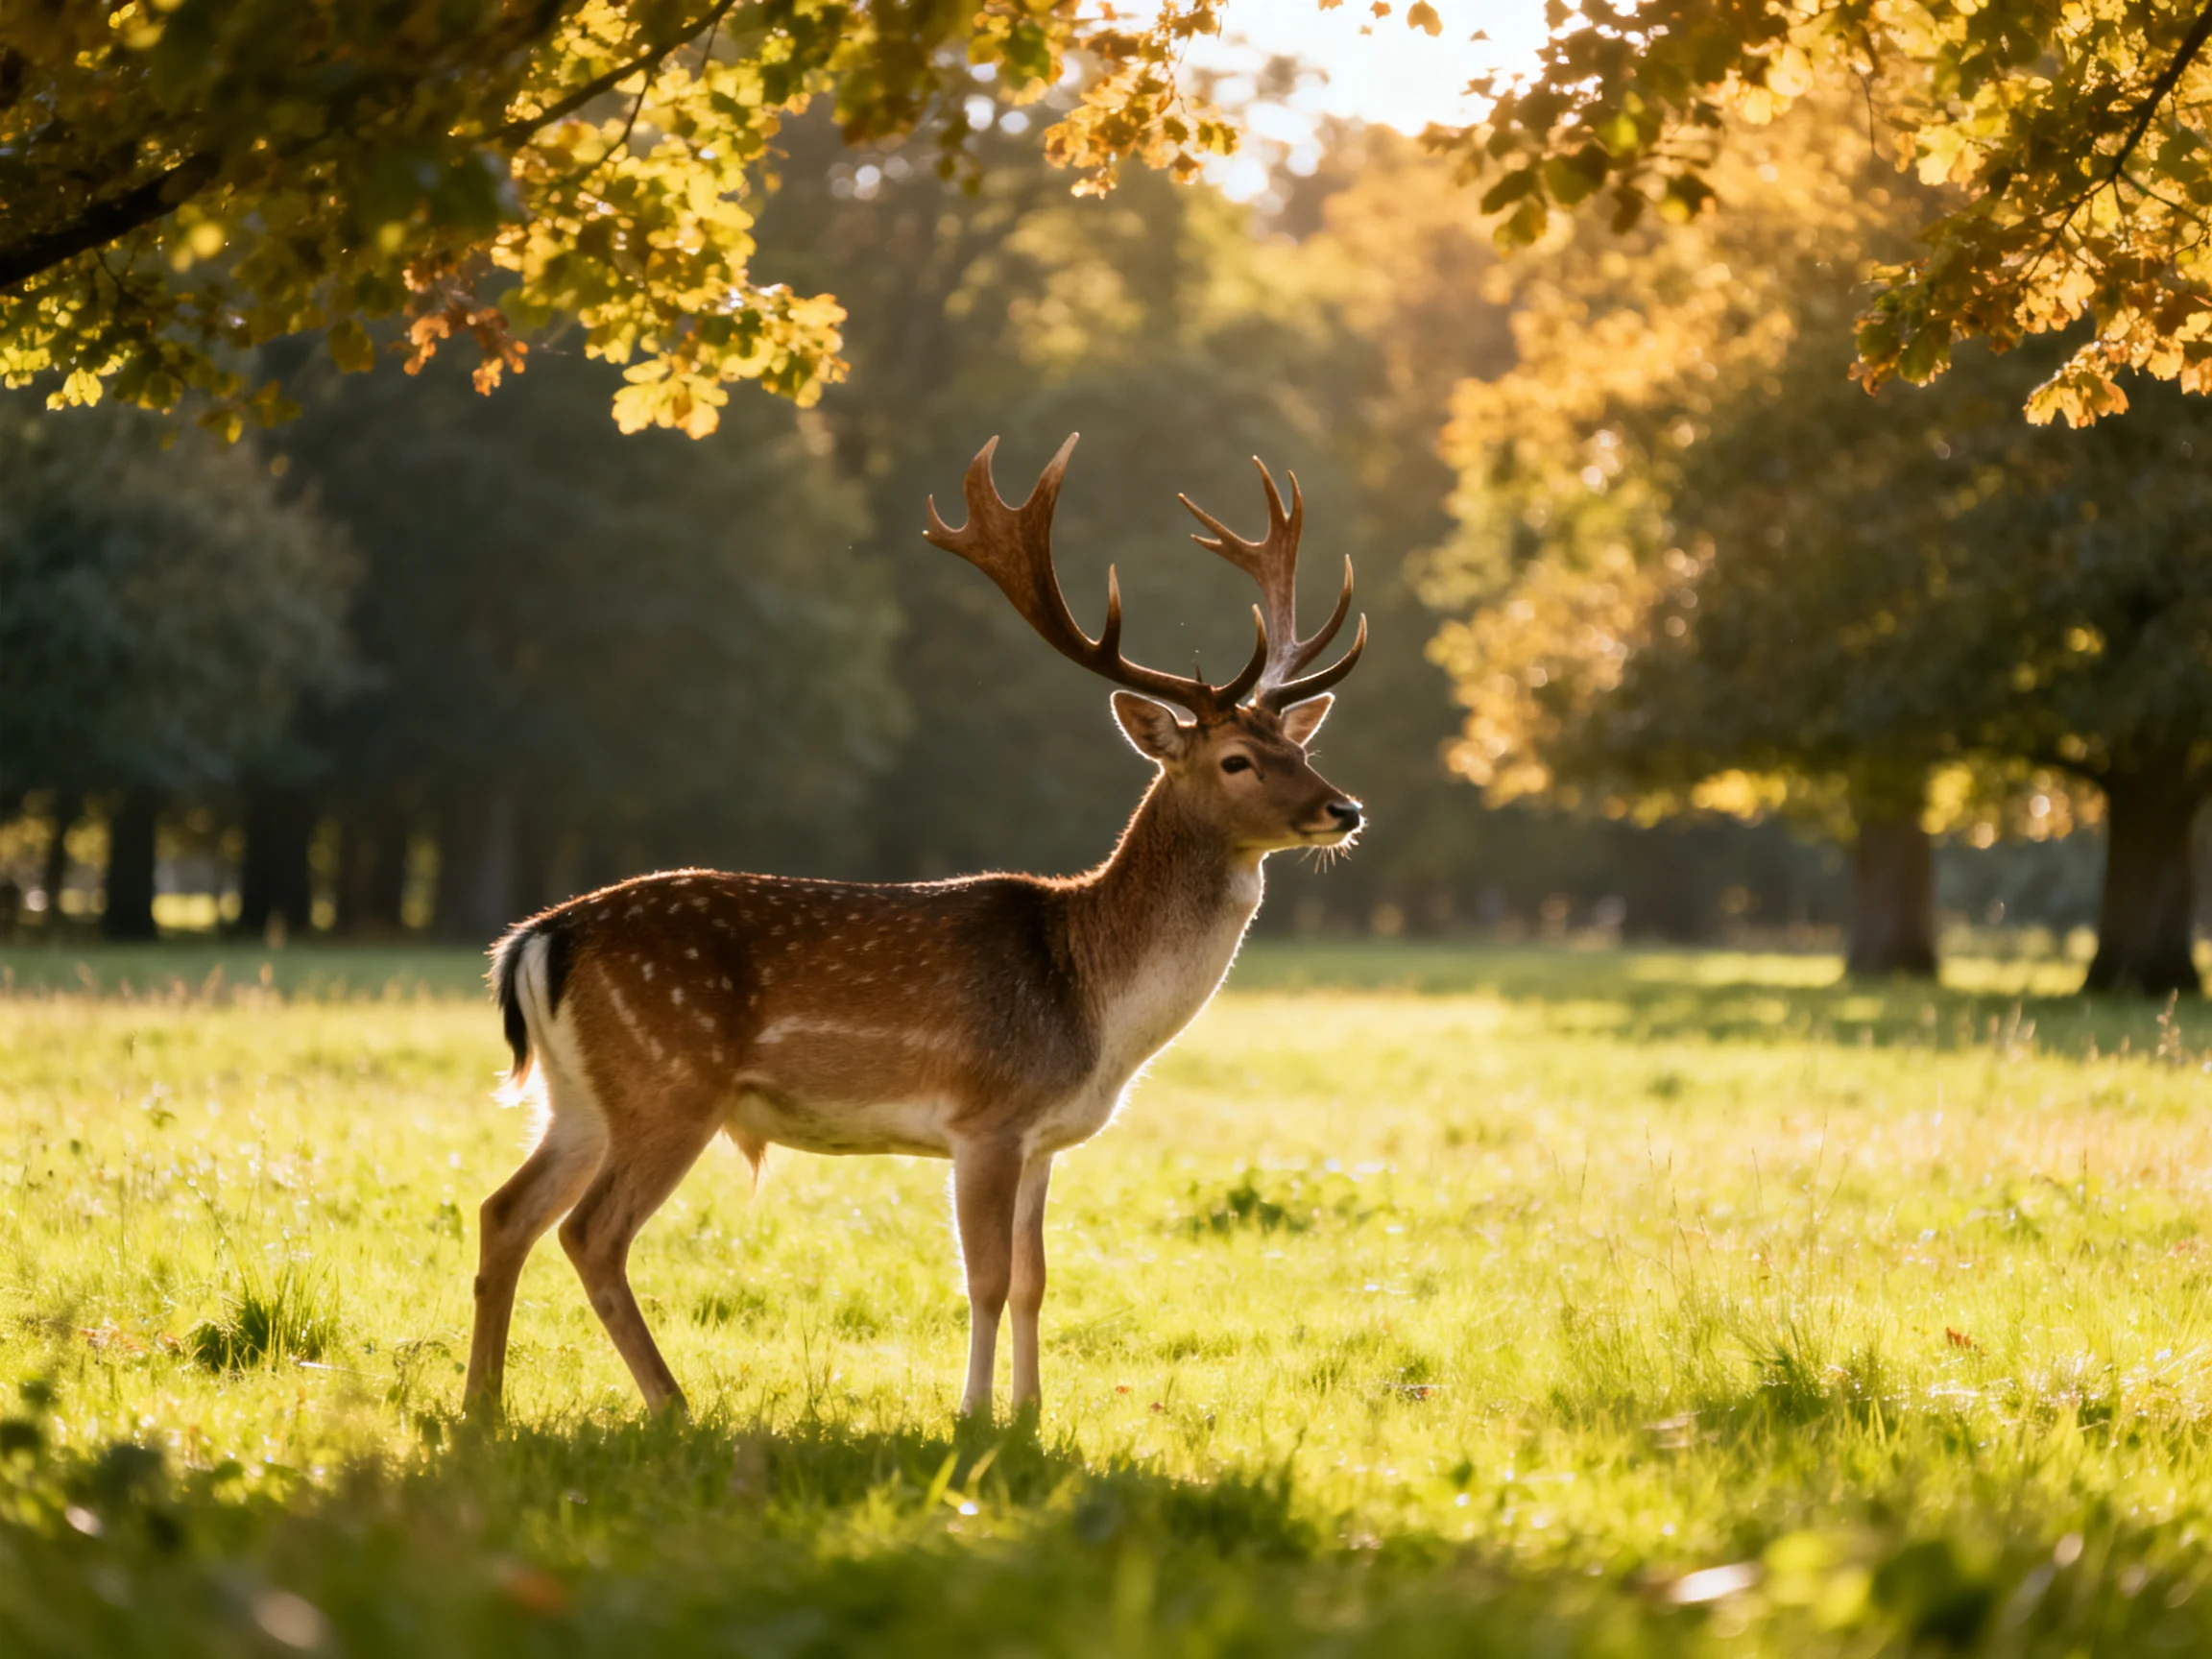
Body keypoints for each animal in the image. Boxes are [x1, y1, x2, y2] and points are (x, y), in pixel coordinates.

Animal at [463, 433, 1366, 1422]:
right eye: (1238, 759)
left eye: (1302, 747)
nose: (1346, 809)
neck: (1094, 1007)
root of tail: (536, 941)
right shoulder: (986, 1119)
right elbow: (986, 1277)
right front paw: (973, 1415)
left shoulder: (1044, 1139)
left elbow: (1036, 1279)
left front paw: (1031, 1414)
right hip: (669, 1080)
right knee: (591, 1233)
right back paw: (672, 1405)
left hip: (580, 1095)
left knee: (504, 1211)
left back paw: (483, 1408)